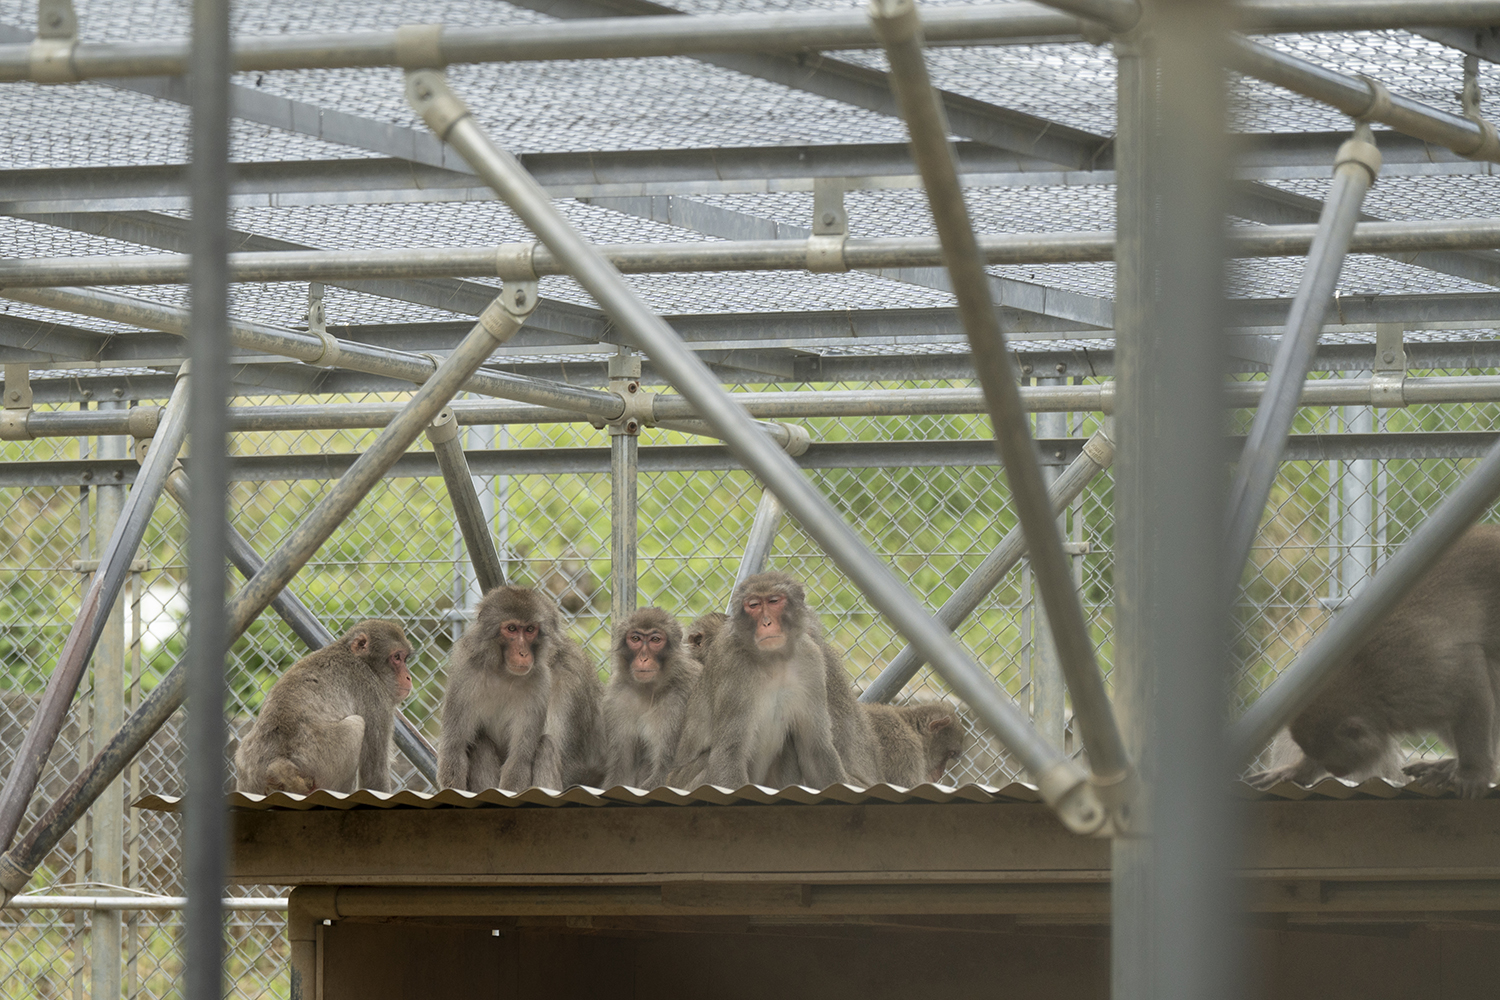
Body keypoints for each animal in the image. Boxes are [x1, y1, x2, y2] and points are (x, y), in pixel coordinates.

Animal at [234, 617, 414, 797]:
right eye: (397, 657)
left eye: (404, 659)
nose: (408, 677)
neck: (362, 661)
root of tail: (276, 763)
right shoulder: (375, 696)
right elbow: (374, 775)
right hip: (322, 759)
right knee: (355, 726)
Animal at [438, 587, 606, 791]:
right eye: (511, 629)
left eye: (530, 630)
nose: (523, 653)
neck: (504, 674)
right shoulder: (465, 672)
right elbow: (454, 747)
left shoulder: (570, 683)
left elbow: (570, 765)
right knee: (480, 743)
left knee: (546, 746)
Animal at [600, 602, 699, 791]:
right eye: (635, 639)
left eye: (655, 640)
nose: (643, 658)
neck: (649, 690)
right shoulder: (618, 698)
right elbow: (621, 770)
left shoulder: (678, 701)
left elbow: (664, 771)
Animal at [1248, 524, 1500, 797]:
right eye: (1319, 759)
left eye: (1334, 762)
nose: (1334, 772)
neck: (1367, 683)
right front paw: (1299, 770)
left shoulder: (1422, 676)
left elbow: (1469, 685)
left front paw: (1473, 770)